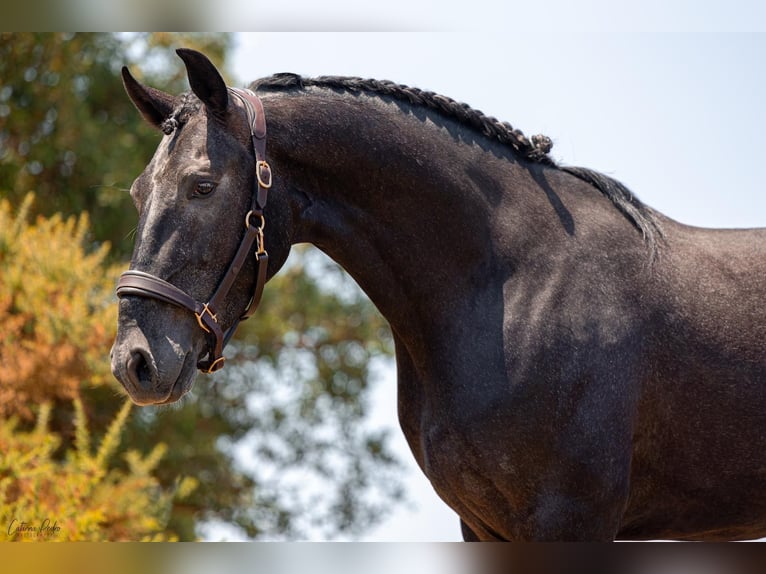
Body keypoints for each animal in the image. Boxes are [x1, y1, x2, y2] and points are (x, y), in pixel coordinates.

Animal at [109, 49, 766, 544]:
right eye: (139, 192)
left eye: (202, 186)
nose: (133, 361)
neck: (510, 288)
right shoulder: (483, 526)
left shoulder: (573, 520)